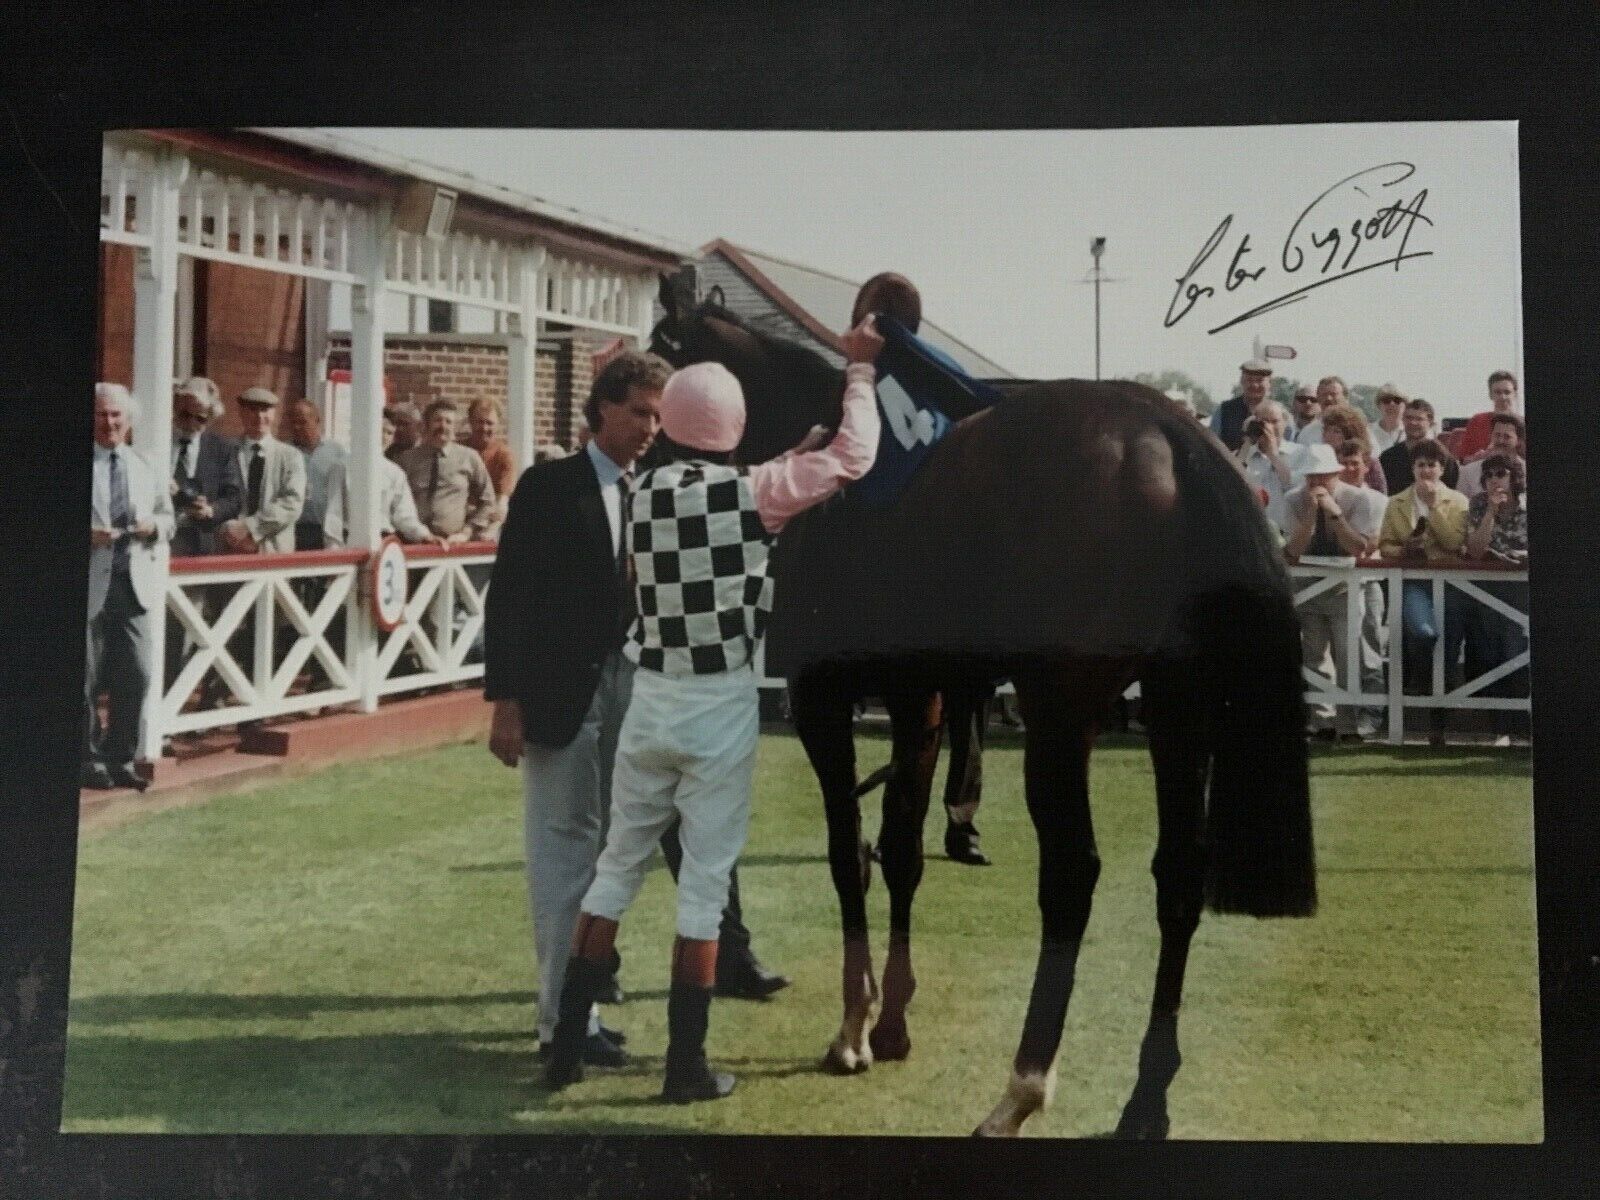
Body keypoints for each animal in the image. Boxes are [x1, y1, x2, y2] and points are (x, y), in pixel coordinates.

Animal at [649, 286, 1312, 1139]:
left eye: (652, 358)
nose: (642, 463)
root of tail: (1172, 434)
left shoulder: (822, 696)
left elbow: (847, 852)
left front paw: (853, 1027)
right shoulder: (923, 696)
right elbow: (899, 851)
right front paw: (891, 1021)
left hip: (1059, 711)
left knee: (1071, 875)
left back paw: (1021, 1089)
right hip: (1177, 708)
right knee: (1177, 879)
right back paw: (1144, 1101)